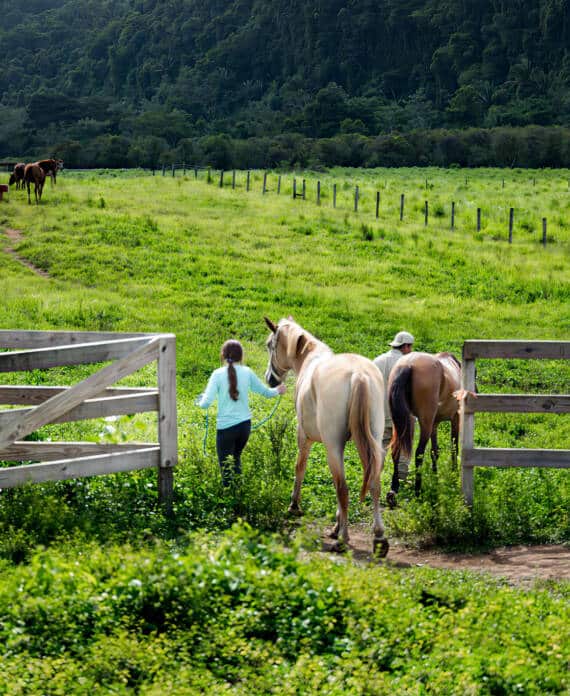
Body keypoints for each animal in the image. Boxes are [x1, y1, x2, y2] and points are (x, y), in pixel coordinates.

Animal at [264, 316, 389, 556]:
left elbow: (300, 467)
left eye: (269, 345)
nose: (269, 379)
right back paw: (379, 538)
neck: (310, 360)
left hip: (333, 446)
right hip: (372, 442)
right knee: (374, 484)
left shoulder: (304, 437)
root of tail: (358, 374)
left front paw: (294, 505)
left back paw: (342, 540)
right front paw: (336, 525)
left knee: (343, 489)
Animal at [387, 351, 462, 505]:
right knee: (419, 453)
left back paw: (393, 490)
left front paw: (435, 476)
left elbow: (435, 451)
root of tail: (408, 364)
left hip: (401, 423)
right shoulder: (455, 418)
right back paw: (418, 491)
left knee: (396, 450)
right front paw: (454, 473)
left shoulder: (435, 423)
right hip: (425, 423)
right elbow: (454, 448)